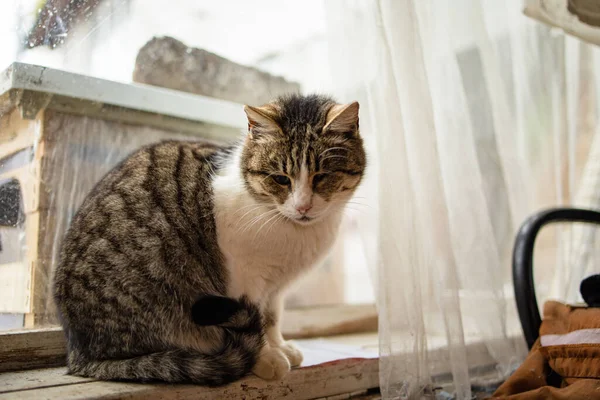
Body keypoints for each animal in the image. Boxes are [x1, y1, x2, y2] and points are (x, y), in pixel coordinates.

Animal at [52, 93, 366, 384]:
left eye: (321, 176)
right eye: (280, 179)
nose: (303, 207)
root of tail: (79, 355)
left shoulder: (274, 290)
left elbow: (271, 319)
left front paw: (280, 347)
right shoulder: (245, 279)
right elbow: (257, 320)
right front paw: (266, 357)